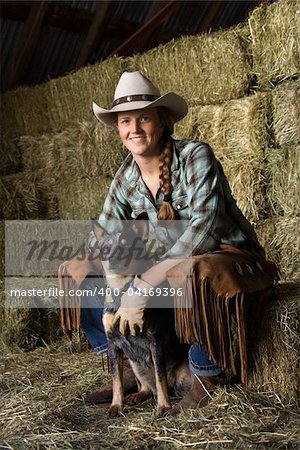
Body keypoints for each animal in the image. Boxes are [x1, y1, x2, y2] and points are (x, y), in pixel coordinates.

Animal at [92, 214, 192, 418]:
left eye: (126, 245)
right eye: (105, 248)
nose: (113, 259)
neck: (121, 291)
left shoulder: (155, 340)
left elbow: (160, 377)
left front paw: (164, 406)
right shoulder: (112, 342)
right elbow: (117, 381)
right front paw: (116, 405)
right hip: (135, 365)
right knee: (146, 387)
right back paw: (137, 396)